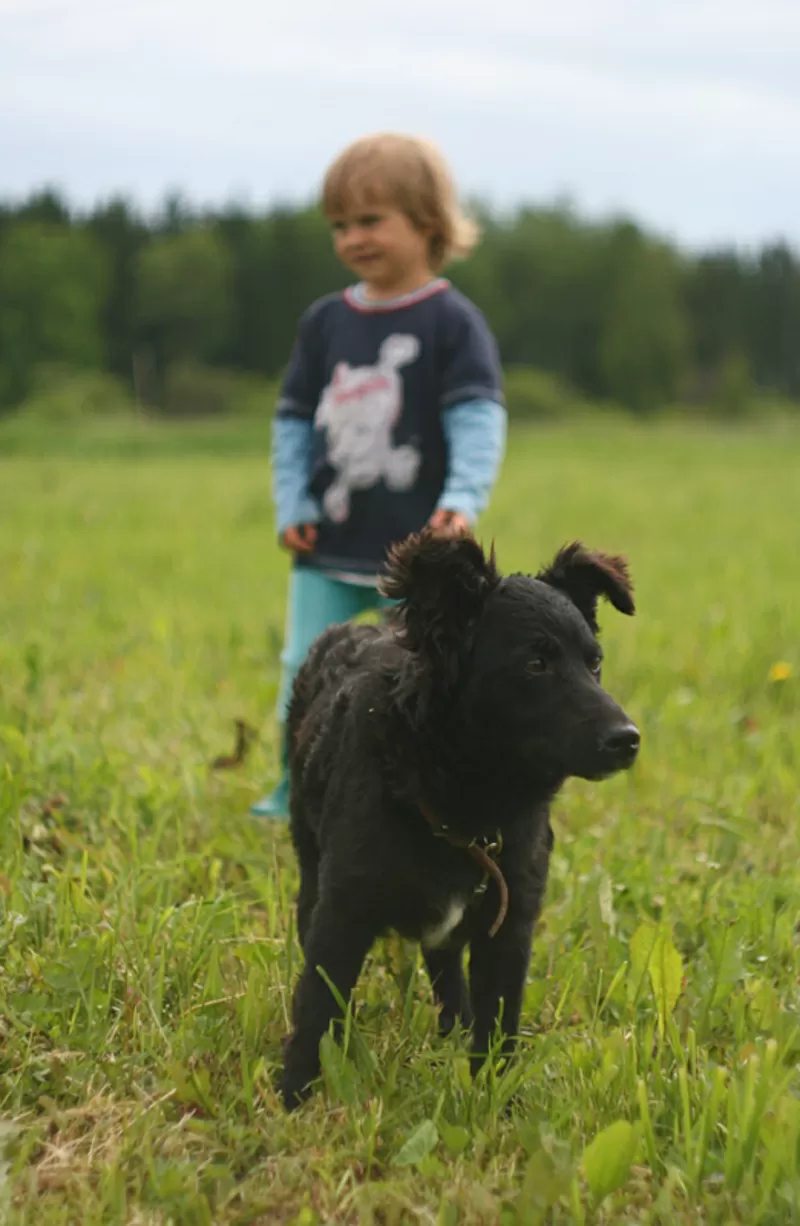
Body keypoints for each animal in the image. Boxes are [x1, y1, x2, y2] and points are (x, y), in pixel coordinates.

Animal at [278, 532, 641, 1108]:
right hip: (311, 873)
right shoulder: (342, 910)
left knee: (446, 969)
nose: (628, 739)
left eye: (595, 663)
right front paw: (293, 1097)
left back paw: (454, 1029)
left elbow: (498, 1024)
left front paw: (494, 1099)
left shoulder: (510, 923)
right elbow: (316, 1006)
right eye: (535, 664)